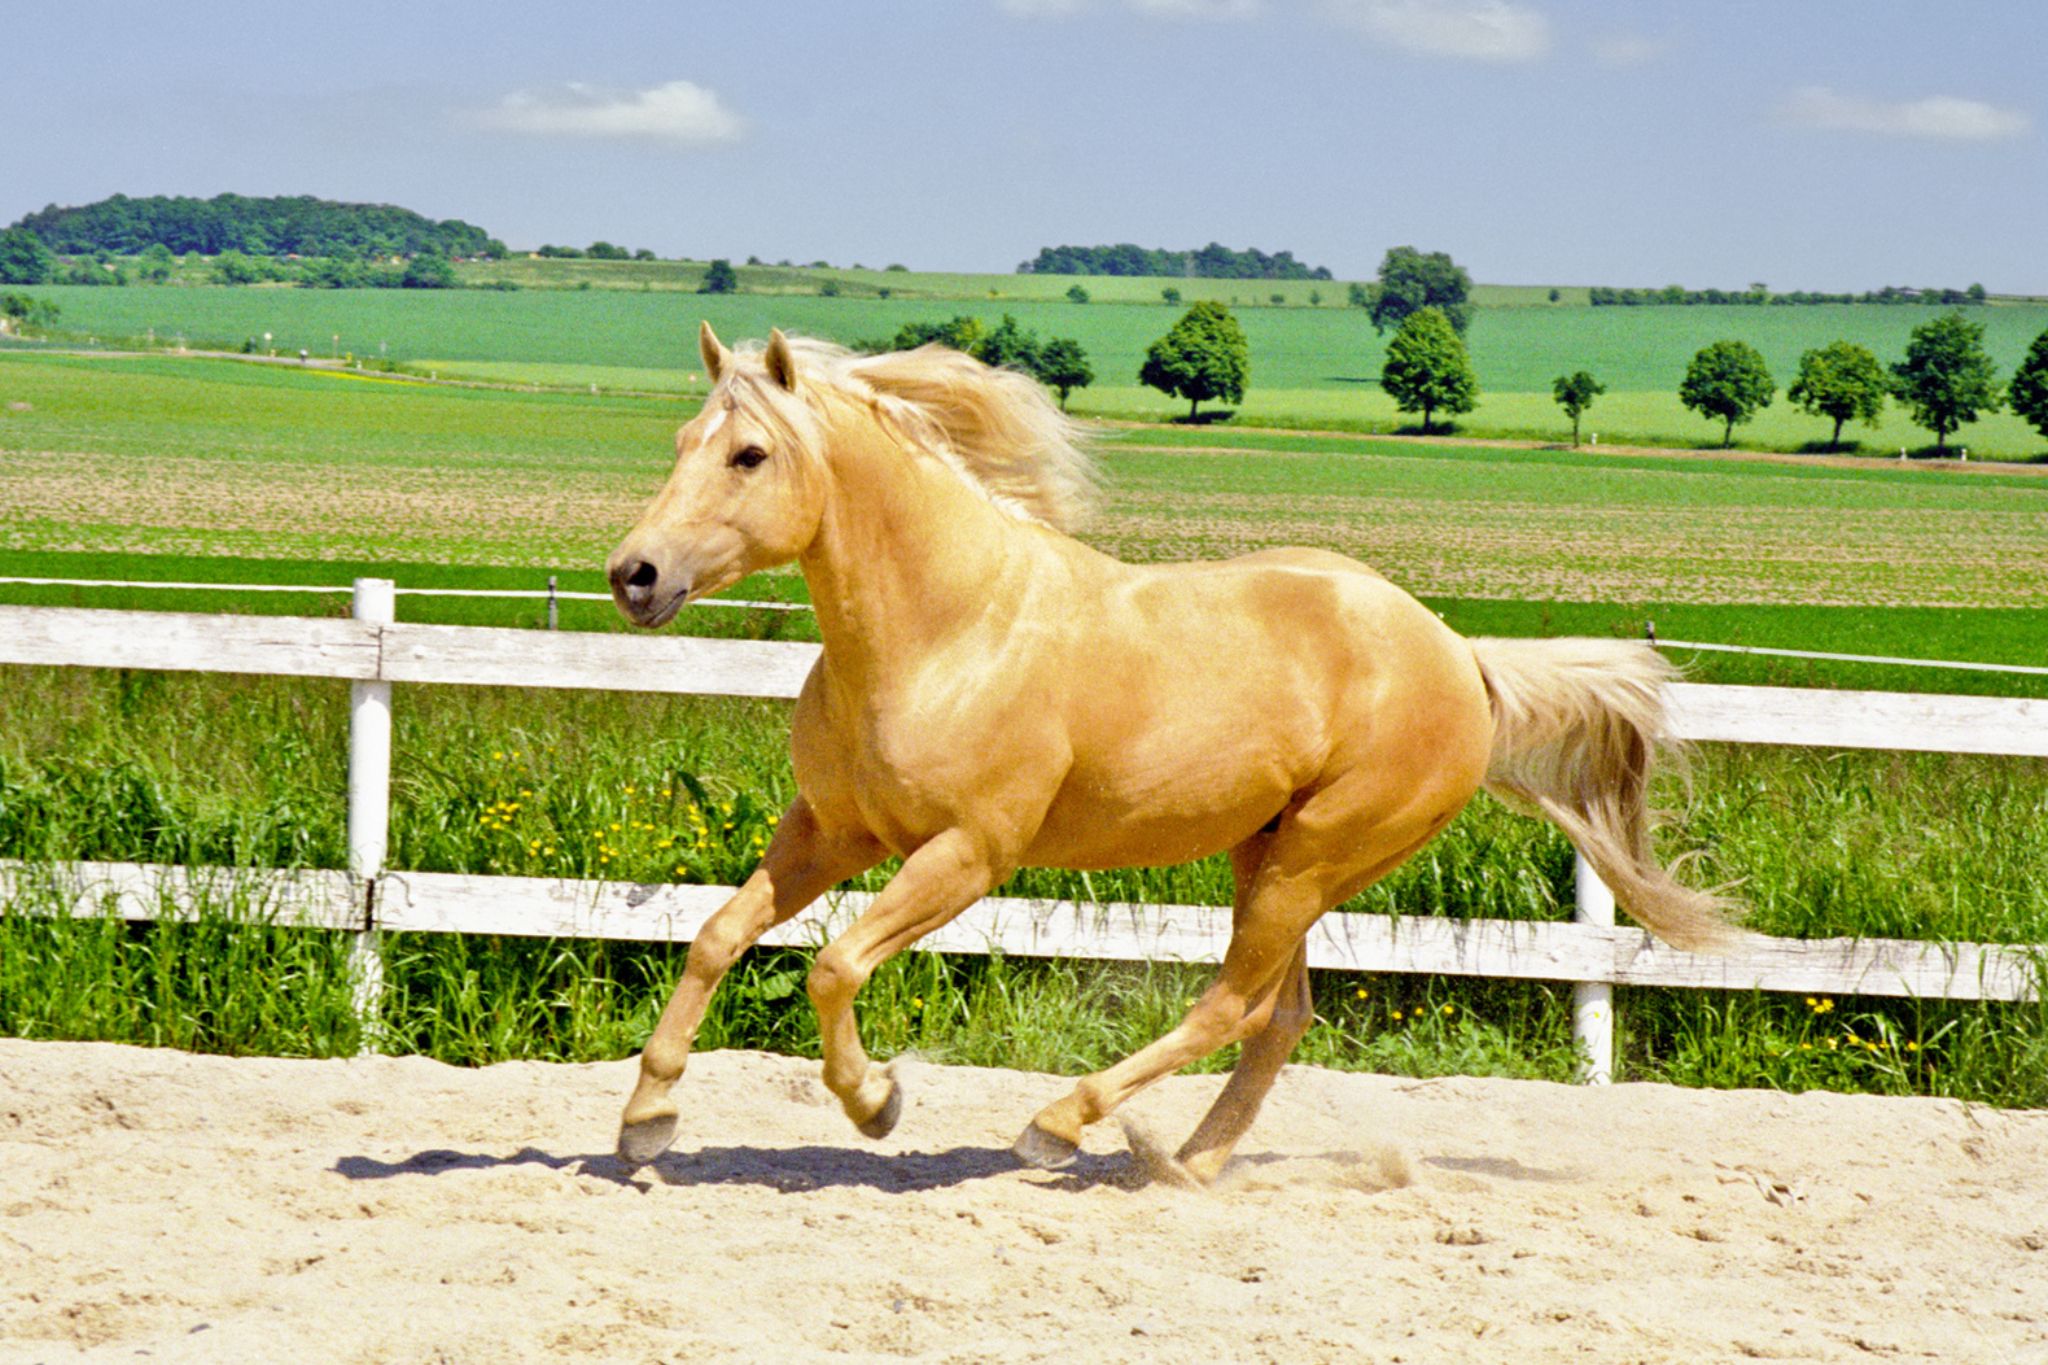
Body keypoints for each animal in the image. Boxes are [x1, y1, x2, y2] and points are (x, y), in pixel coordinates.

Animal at [604, 322, 1736, 1184]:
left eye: (749, 455)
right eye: (680, 439)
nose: (633, 575)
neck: (947, 629)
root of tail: (1459, 655)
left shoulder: (969, 852)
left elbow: (833, 965)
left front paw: (876, 1100)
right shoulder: (834, 829)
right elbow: (715, 936)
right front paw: (645, 1123)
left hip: (1315, 858)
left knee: (1235, 1004)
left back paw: (1059, 1128)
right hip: (1266, 851)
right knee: (1280, 1015)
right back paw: (1188, 1164)